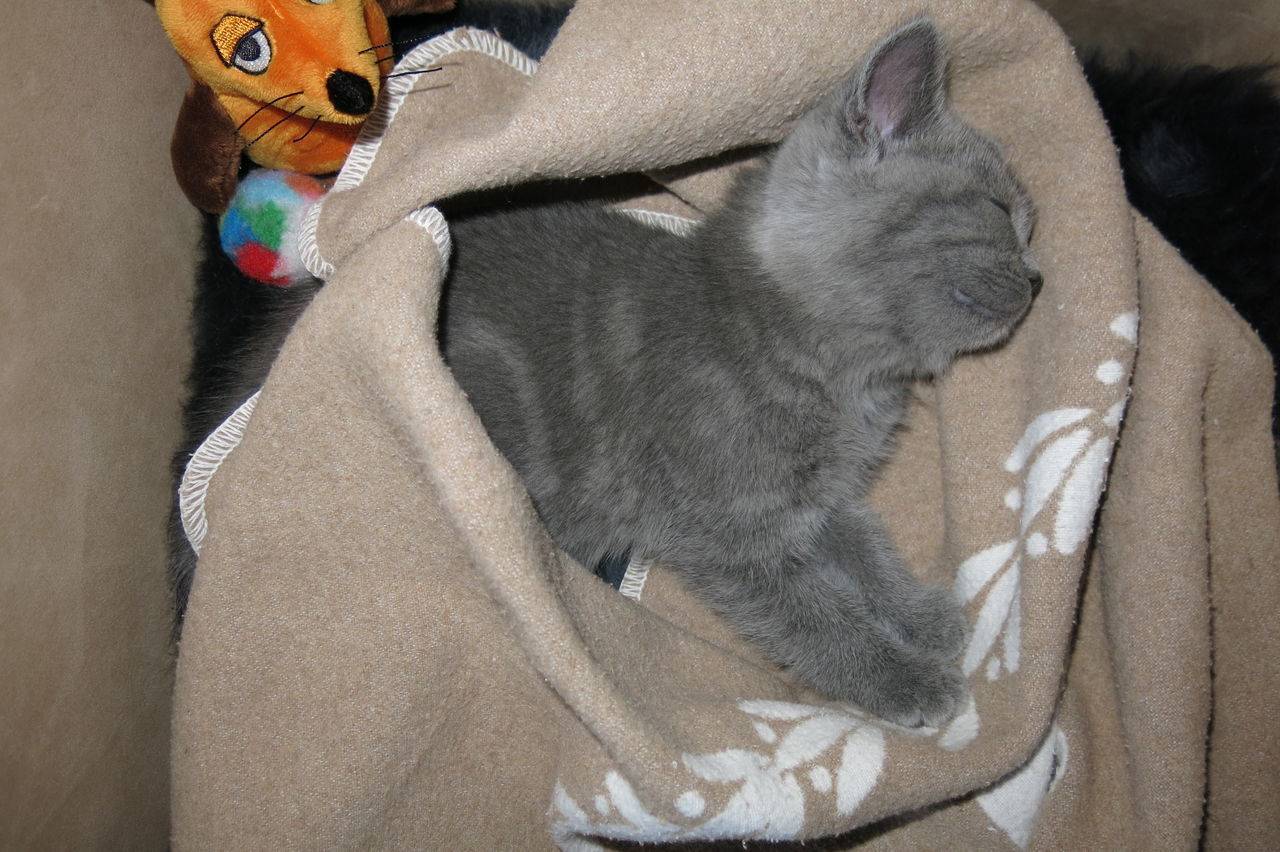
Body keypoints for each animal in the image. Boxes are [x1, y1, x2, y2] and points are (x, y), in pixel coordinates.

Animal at [440, 18, 1039, 721]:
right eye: (997, 209)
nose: (1037, 278)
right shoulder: (724, 531)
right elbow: (811, 616)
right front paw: (902, 678)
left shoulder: (816, 497)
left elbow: (863, 543)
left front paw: (917, 615)